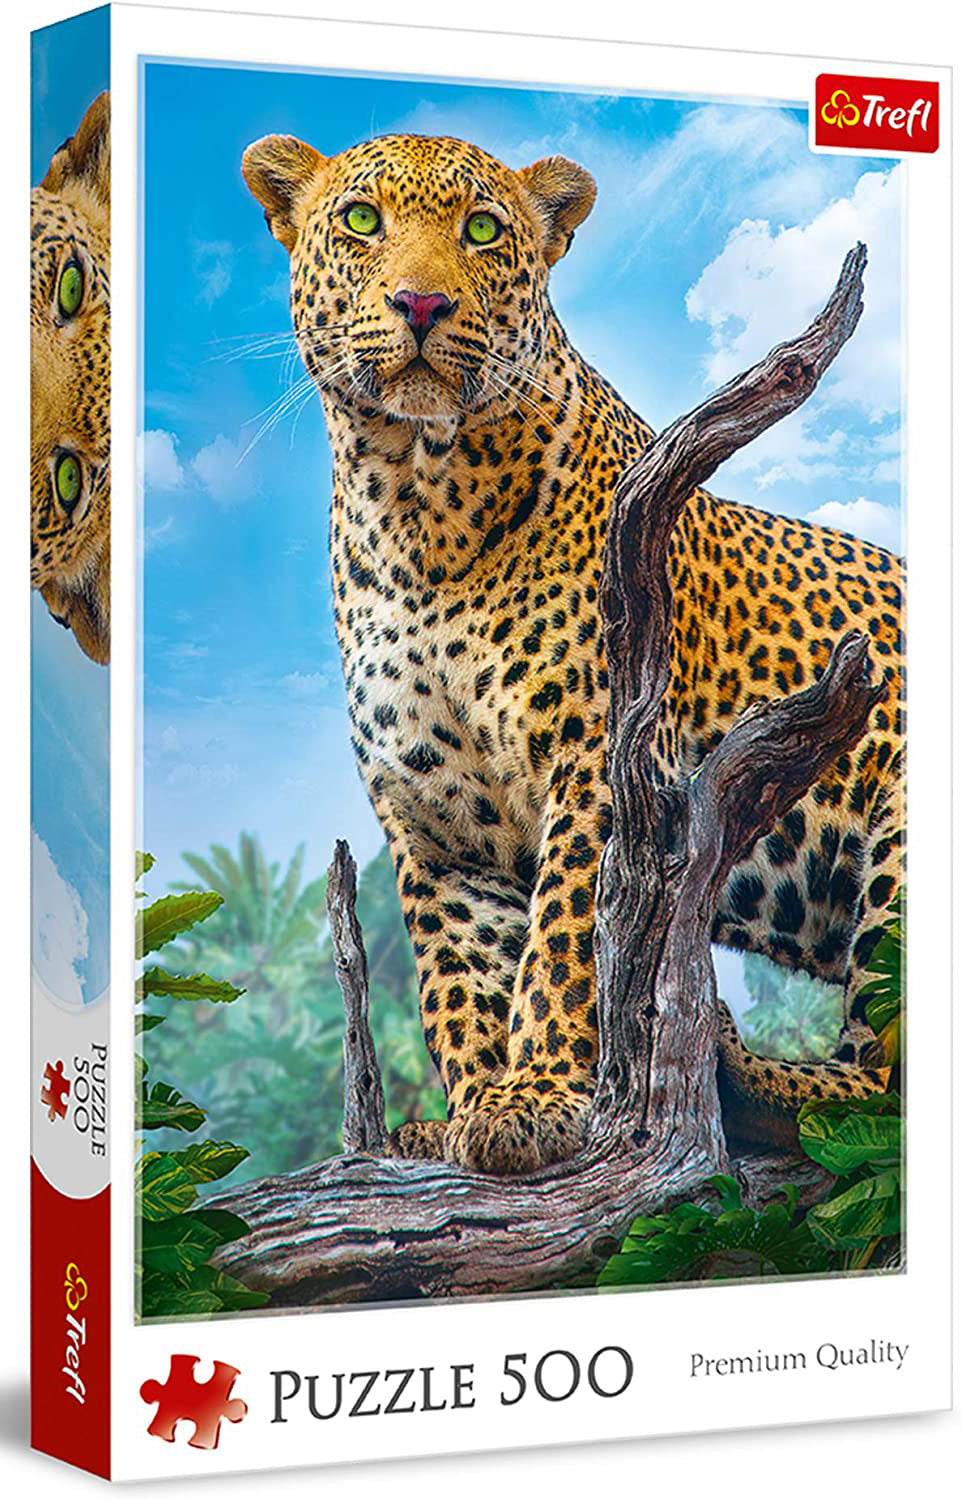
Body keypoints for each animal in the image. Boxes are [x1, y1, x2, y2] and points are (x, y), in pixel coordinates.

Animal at [243, 129, 903, 1175]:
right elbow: (459, 977)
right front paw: (469, 1111)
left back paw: (740, 1071)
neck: (416, 506)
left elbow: (565, 938)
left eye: (481, 230)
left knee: (882, 1081)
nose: (420, 304)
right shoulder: (434, 820)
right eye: (360, 221)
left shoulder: (601, 761)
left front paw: (543, 1097)